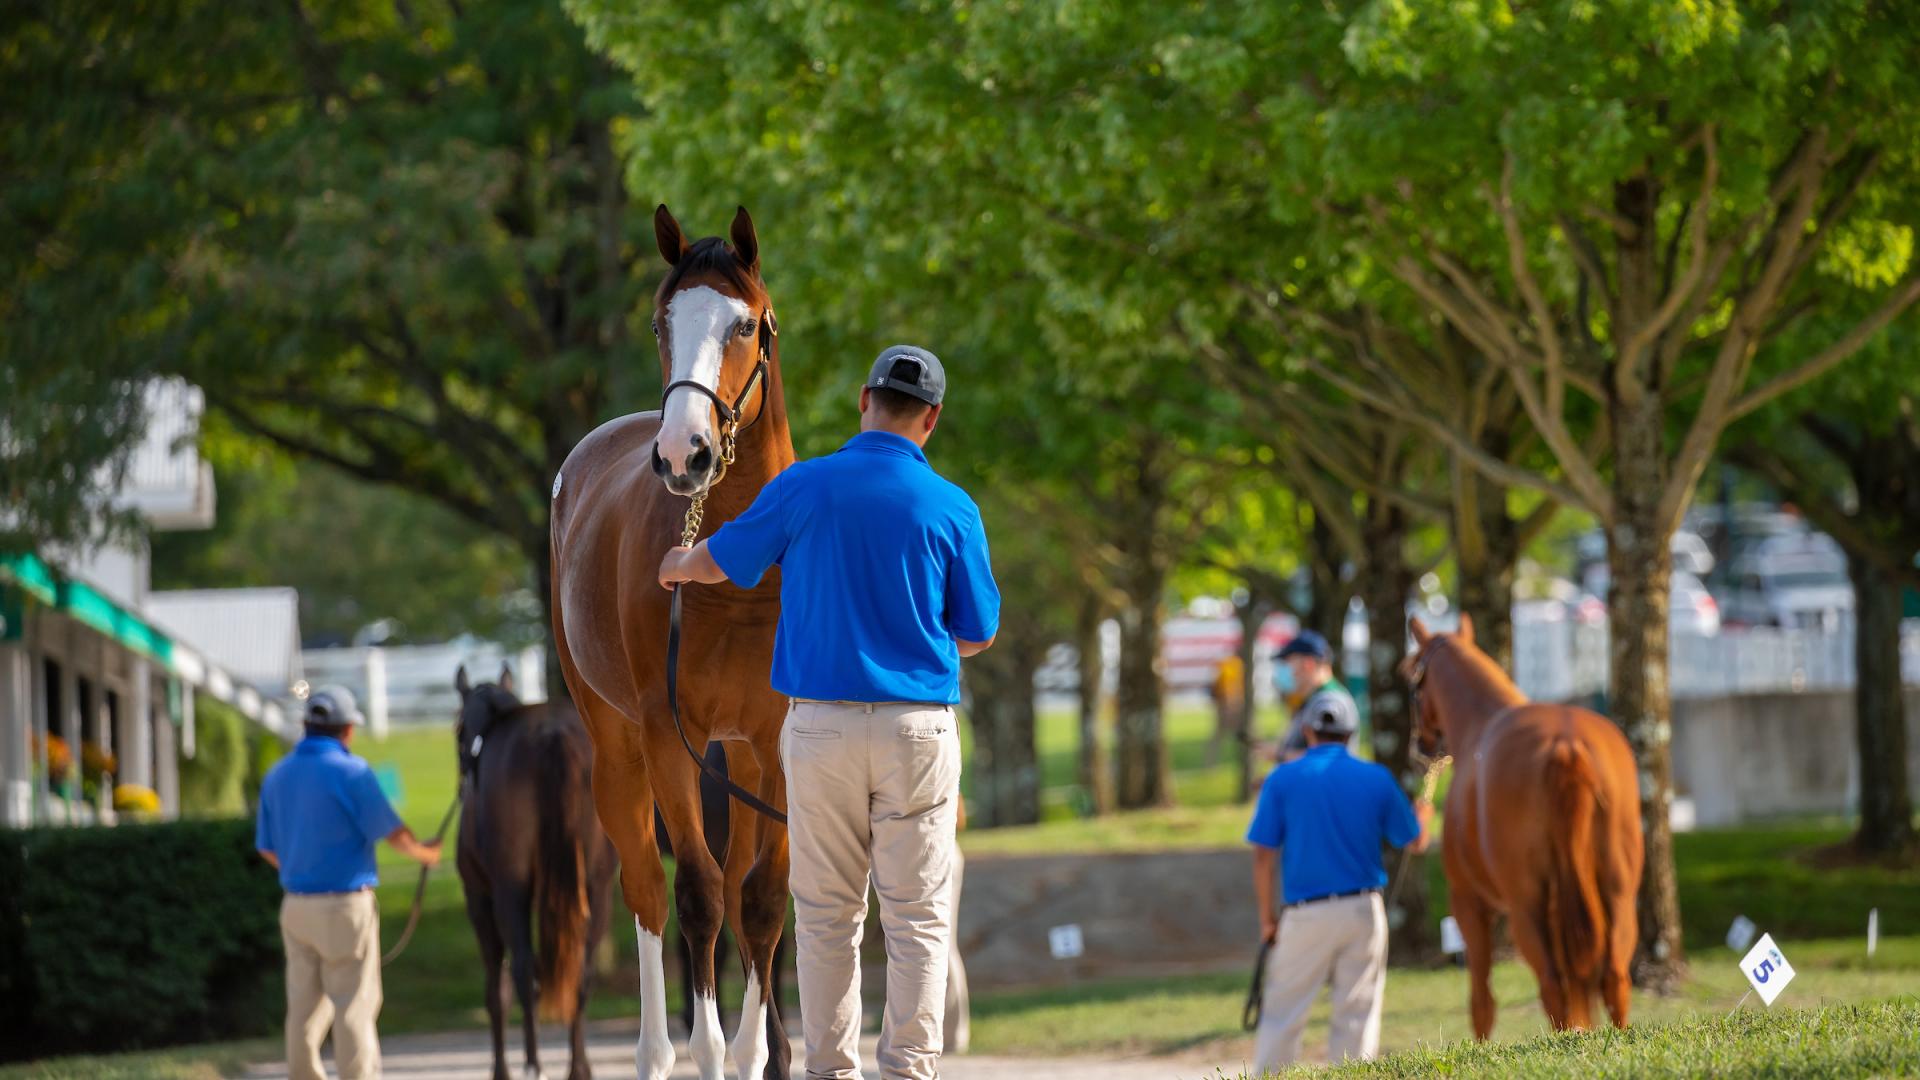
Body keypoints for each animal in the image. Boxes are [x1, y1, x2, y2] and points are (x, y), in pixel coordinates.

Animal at [449, 664, 614, 1076]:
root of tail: (552, 735)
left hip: (511, 888)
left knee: (522, 971)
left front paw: (501, 1070)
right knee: (581, 974)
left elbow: (497, 989)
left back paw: (533, 1065)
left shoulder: (479, 897)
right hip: (598, 888)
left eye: (458, 730)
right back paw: (578, 1068)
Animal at [552, 203, 791, 1076]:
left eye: (747, 324)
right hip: (617, 746)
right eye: (662, 322)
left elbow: (762, 900)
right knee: (649, 894)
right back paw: (657, 1052)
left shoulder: (776, 739)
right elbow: (698, 894)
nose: (683, 453)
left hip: (737, 755)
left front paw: (754, 1055)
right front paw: (710, 1052)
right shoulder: (663, 735)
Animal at [1405, 611, 1643, 1030]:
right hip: (1618, 895)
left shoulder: (1468, 903)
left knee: (1551, 985)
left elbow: (1481, 1003)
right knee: (1614, 978)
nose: (1420, 745)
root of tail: (1567, 745)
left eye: (1411, 677)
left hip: (1526, 906)